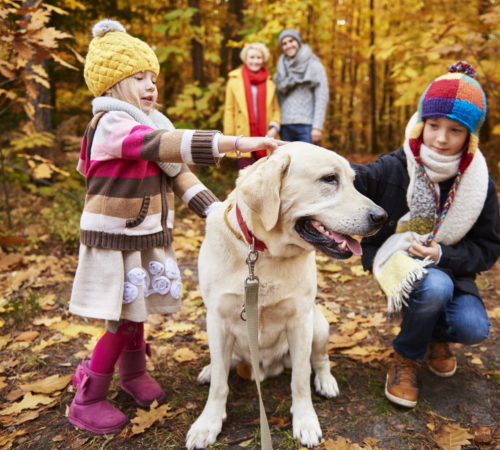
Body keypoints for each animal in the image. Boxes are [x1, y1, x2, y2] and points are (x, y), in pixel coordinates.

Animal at [186, 142, 384, 448]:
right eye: (329, 179)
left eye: (353, 181)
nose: (381, 217)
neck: (264, 253)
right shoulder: (217, 319)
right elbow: (220, 383)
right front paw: (208, 423)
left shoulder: (300, 321)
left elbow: (300, 380)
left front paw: (305, 421)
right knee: (223, 363)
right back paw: (210, 369)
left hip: (319, 324)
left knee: (320, 360)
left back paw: (326, 381)